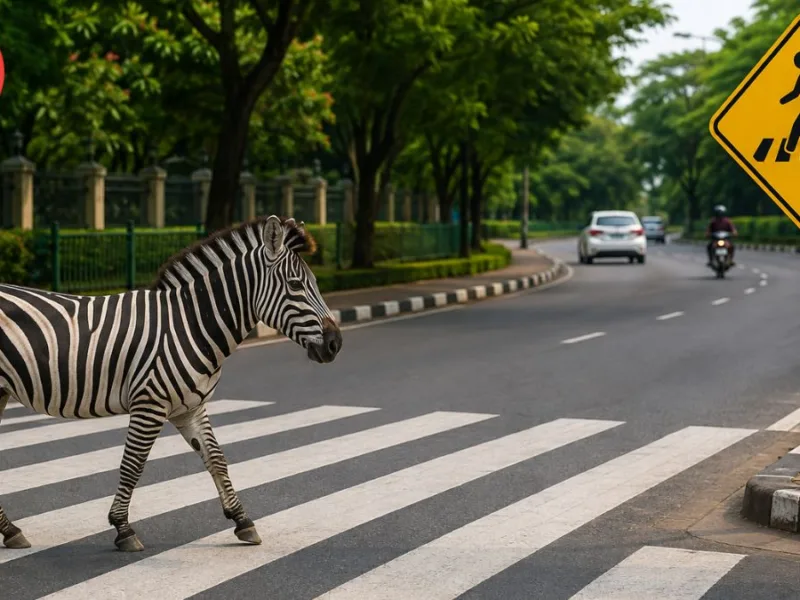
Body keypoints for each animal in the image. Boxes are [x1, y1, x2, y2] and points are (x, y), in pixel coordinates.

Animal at [0, 215, 342, 552]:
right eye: (296, 285)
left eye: (314, 284)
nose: (335, 344)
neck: (191, 325)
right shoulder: (149, 404)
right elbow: (133, 464)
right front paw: (123, 528)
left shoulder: (191, 408)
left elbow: (217, 459)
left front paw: (242, 521)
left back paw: (10, 531)